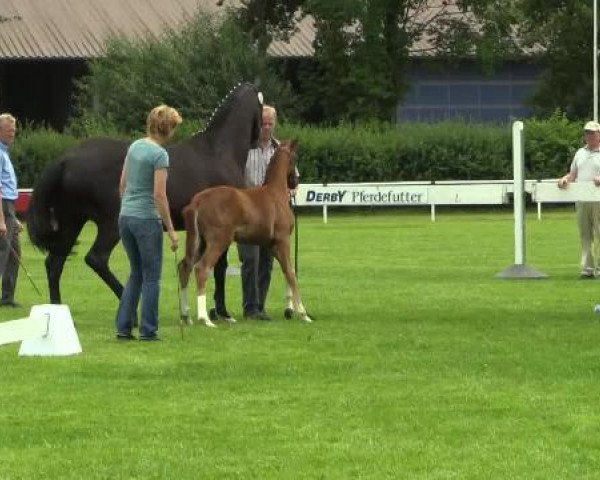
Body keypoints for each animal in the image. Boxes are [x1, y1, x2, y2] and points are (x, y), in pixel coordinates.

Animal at [28, 82, 262, 316]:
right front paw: (222, 311)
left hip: (72, 223)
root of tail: (65, 160)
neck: (218, 151)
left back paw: (57, 308)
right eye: (262, 105)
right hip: (110, 224)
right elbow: (219, 266)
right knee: (96, 258)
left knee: (55, 262)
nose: (259, 138)